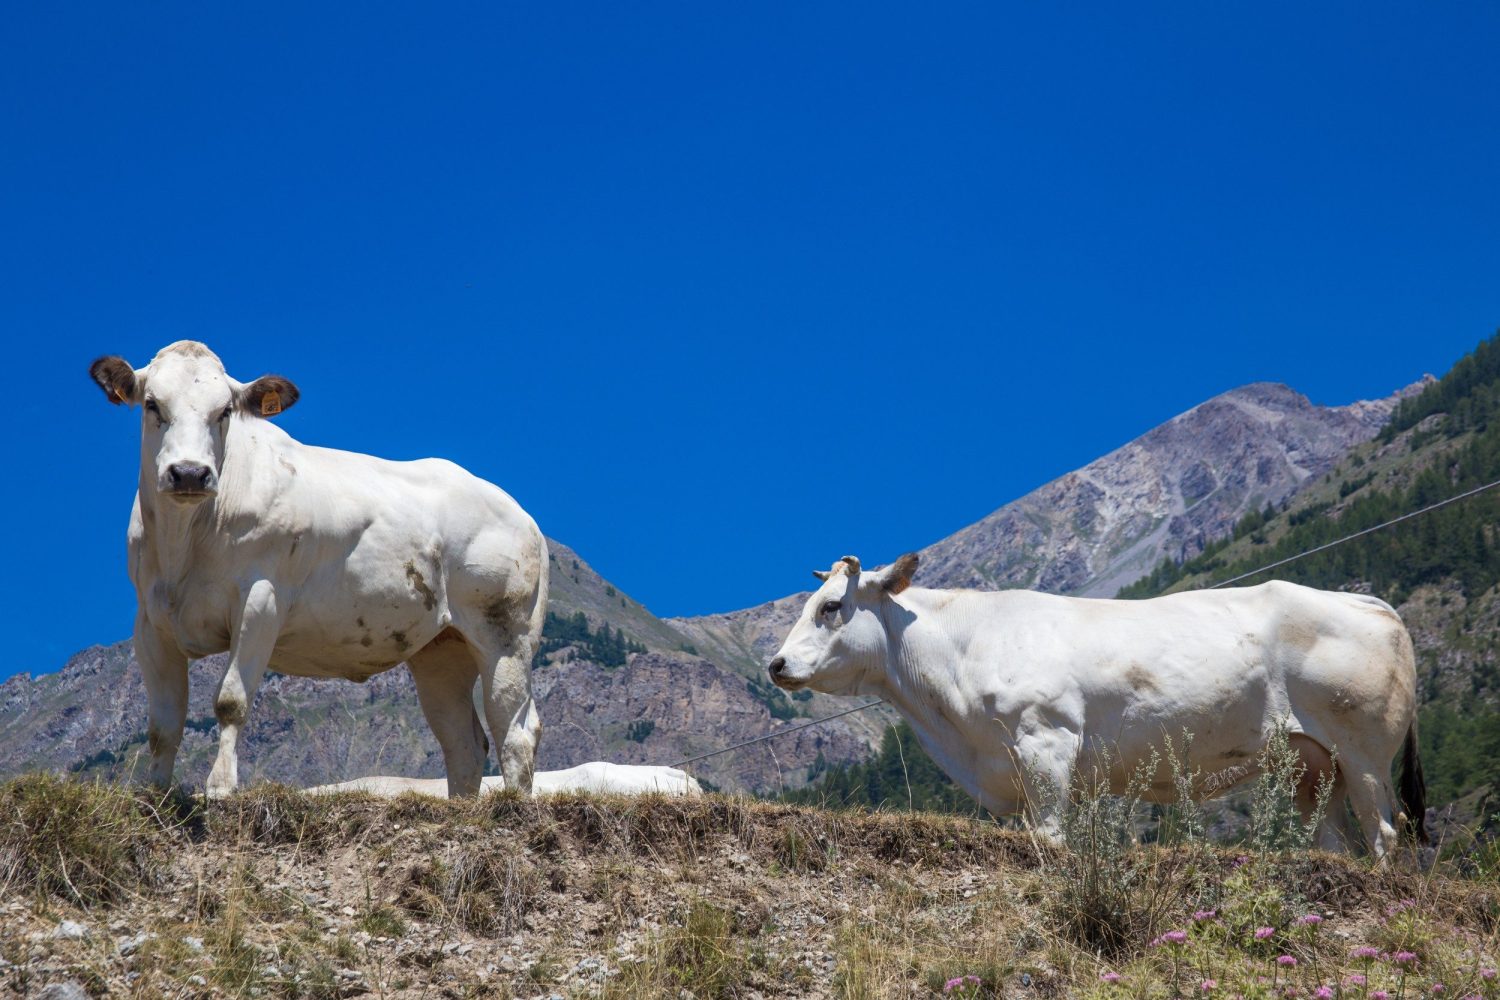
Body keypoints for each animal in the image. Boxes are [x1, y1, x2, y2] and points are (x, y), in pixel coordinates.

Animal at [87, 341, 549, 797]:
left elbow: (230, 701)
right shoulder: (151, 620)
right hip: (440, 647)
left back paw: (513, 805)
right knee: (463, 741)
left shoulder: (261, 600)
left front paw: (220, 788)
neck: (184, 543)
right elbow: (163, 724)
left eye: (224, 411)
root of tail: (522, 515)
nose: (188, 473)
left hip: (504, 631)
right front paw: (155, 796)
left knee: (515, 730)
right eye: (152, 404)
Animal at [768, 551, 1422, 857]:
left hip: (1364, 751)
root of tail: (1367, 602)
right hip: (1312, 762)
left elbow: (1052, 838)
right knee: (1334, 842)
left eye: (831, 606)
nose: (776, 665)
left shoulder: (1046, 743)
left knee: (1386, 833)